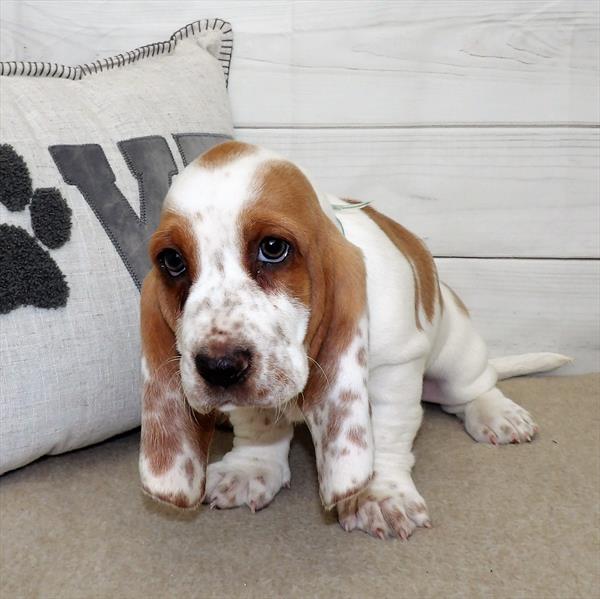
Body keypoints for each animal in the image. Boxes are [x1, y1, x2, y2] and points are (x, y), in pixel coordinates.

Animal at [138, 141, 568, 540]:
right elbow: (258, 422)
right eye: (172, 261)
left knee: (473, 388)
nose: (219, 367)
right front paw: (249, 468)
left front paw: (381, 496)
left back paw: (497, 414)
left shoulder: (394, 373)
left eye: (273, 248)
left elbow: (388, 433)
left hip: (455, 354)